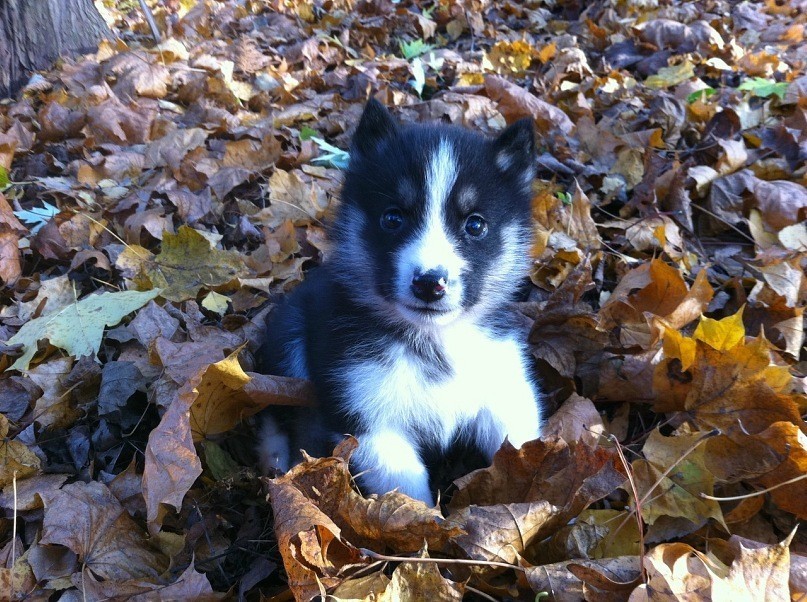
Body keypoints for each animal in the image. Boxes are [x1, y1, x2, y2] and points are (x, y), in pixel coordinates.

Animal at [258, 101, 548, 504]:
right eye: (393, 218)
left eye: (475, 225)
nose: (430, 283)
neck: (434, 340)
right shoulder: (368, 419)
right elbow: (408, 493)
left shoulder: (504, 388)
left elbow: (520, 447)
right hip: (288, 334)